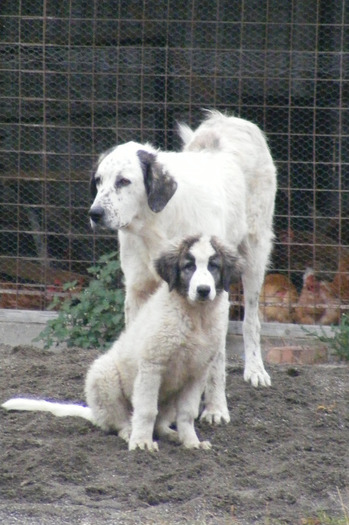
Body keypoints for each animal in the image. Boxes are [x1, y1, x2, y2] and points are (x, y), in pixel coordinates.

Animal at [2, 234, 245, 450]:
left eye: (213, 266)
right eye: (188, 267)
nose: (203, 290)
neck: (196, 317)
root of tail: (95, 413)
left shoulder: (197, 373)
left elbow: (187, 413)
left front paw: (191, 443)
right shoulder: (151, 366)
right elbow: (146, 410)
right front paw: (141, 443)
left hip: (169, 394)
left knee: (159, 422)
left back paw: (170, 434)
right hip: (104, 375)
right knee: (120, 421)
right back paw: (130, 432)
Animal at [87, 110, 278, 422]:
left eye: (124, 181)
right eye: (99, 180)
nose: (95, 213)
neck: (156, 224)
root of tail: (230, 119)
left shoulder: (216, 292)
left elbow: (217, 362)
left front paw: (215, 408)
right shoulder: (137, 291)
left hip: (255, 254)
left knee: (251, 320)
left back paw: (255, 369)